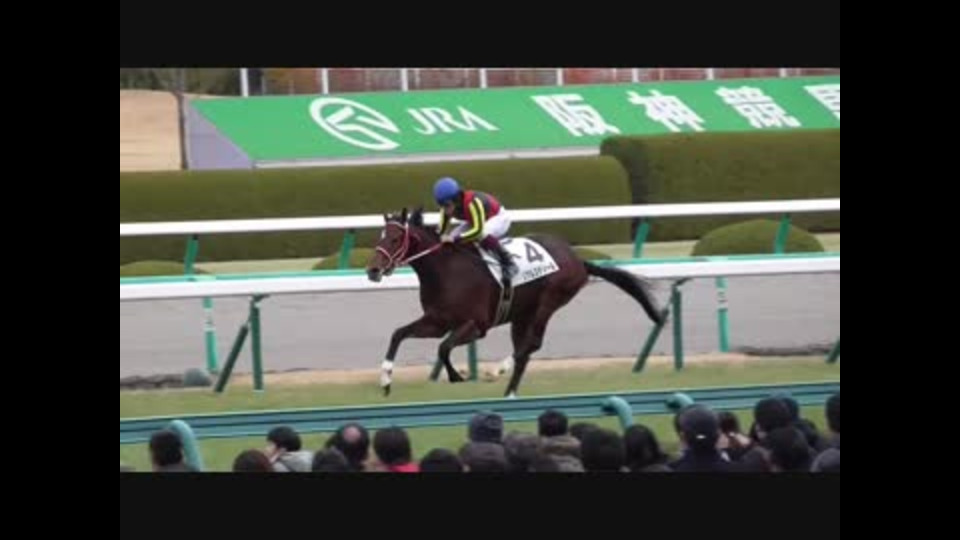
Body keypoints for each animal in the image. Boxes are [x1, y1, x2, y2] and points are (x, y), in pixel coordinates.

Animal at [365, 207, 665, 398]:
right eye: (380, 236)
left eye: (395, 238)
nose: (372, 270)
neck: (447, 270)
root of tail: (579, 260)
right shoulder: (437, 321)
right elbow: (399, 334)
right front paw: (385, 379)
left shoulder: (476, 325)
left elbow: (443, 347)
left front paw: (457, 376)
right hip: (522, 314)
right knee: (525, 349)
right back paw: (509, 393)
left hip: (549, 301)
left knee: (531, 344)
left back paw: (498, 370)